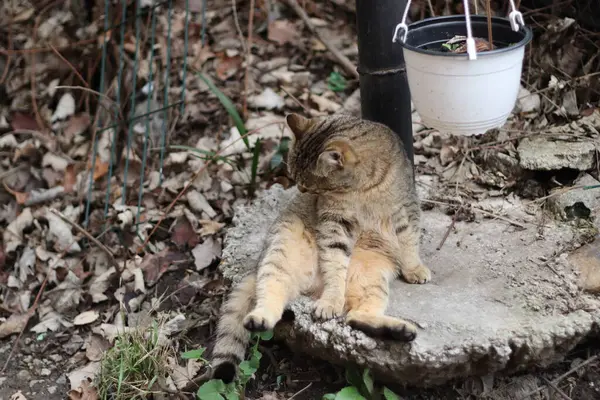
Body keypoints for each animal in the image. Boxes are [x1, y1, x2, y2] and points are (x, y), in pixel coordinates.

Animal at [209, 113, 428, 384]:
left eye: (310, 184)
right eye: (299, 182)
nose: (302, 190)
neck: (362, 189)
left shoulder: (405, 209)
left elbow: (409, 241)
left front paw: (414, 268)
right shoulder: (335, 223)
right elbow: (334, 264)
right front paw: (331, 300)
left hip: (373, 279)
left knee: (356, 318)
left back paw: (398, 330)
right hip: (280, 253)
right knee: (272, 294)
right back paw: (261, 318)